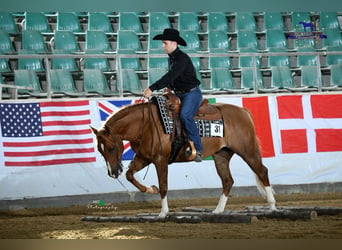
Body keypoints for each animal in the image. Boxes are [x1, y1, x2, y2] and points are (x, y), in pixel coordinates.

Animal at [89, 96, 276, 218]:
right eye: (99, 150)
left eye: (111, 148)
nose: (113, 172)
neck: (146, 124)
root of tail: (243, 111)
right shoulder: (144, 158)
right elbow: (130, 175)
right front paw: (150, 189)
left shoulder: (160, 160)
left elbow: (164, 186)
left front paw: (163, 212)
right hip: (221, 156)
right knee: (227, 180)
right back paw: (218, 210)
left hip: (247, 151)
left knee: (262, 171)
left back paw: (272, 205)